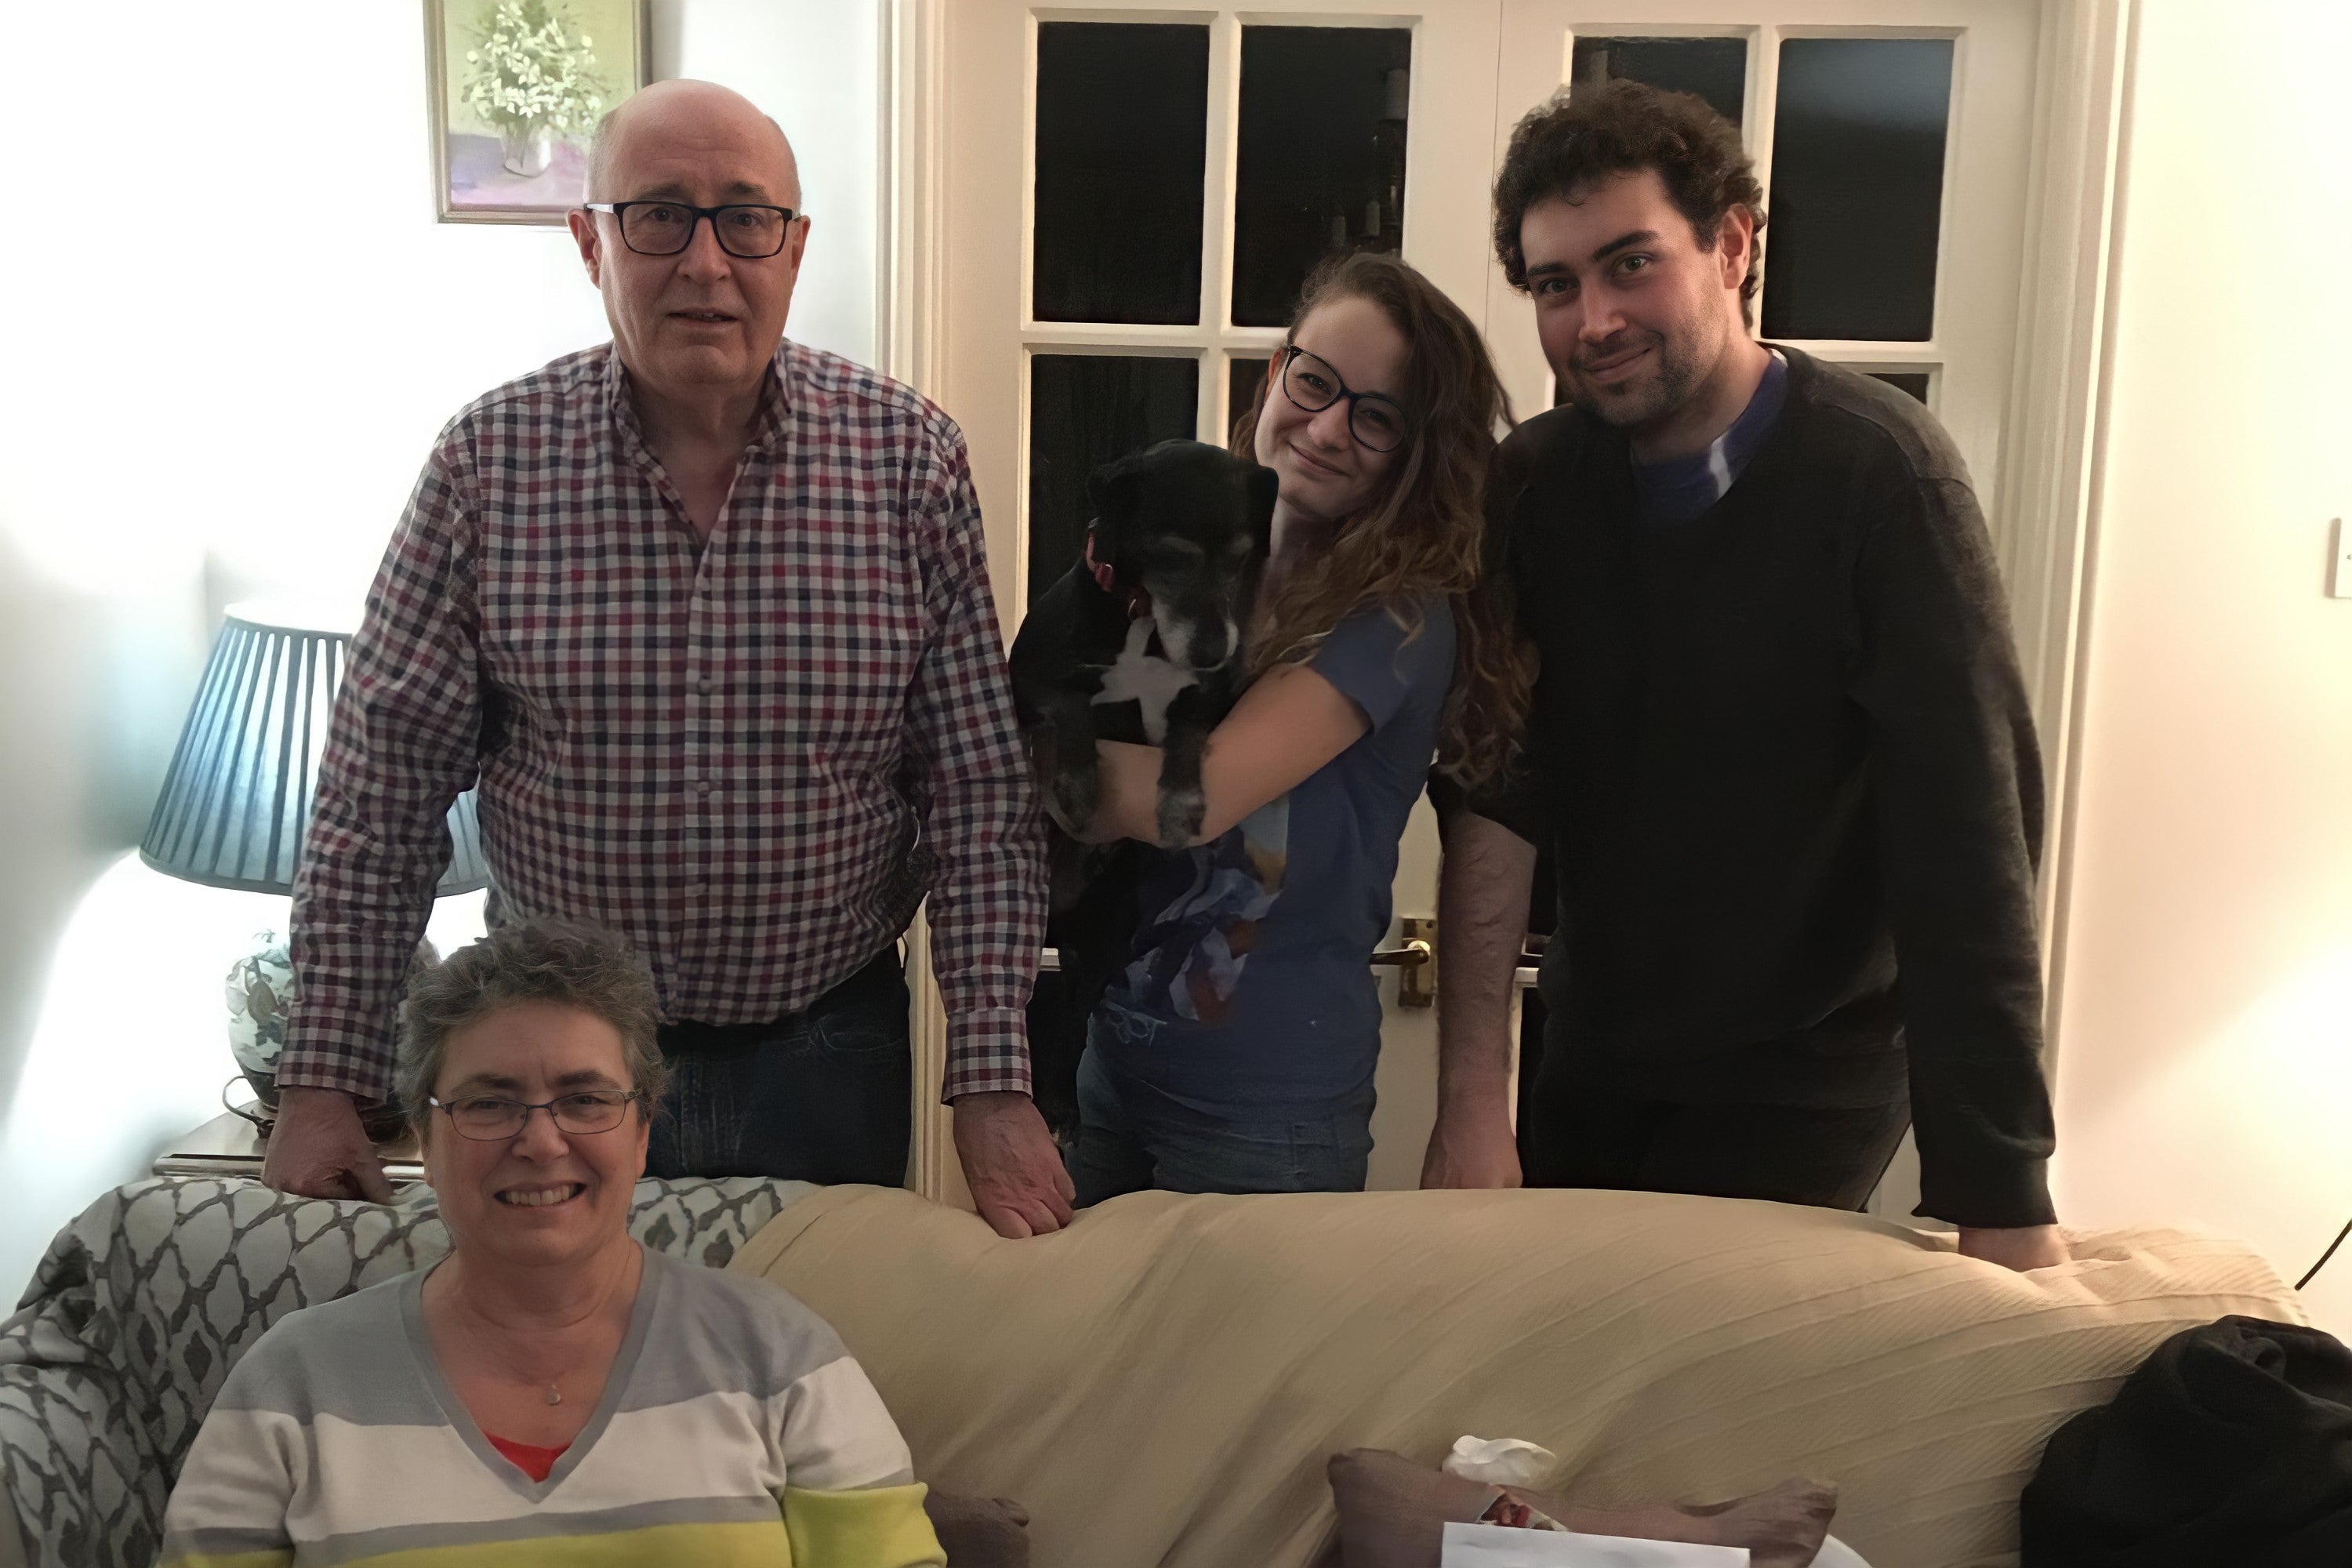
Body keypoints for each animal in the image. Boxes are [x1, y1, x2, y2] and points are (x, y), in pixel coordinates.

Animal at [1007, 441, 1279, 1142]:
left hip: (1107, 935)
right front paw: (1077, 787)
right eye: (1175, 555)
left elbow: (1185, 733)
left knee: (1072, 1020)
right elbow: (1072, 708)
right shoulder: (1028, 685)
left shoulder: (1210, 704)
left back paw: (1060, 1109)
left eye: (1241, 556)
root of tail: (1064, 908)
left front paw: (1181, 804)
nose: (1213, 651)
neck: (1141, 618)